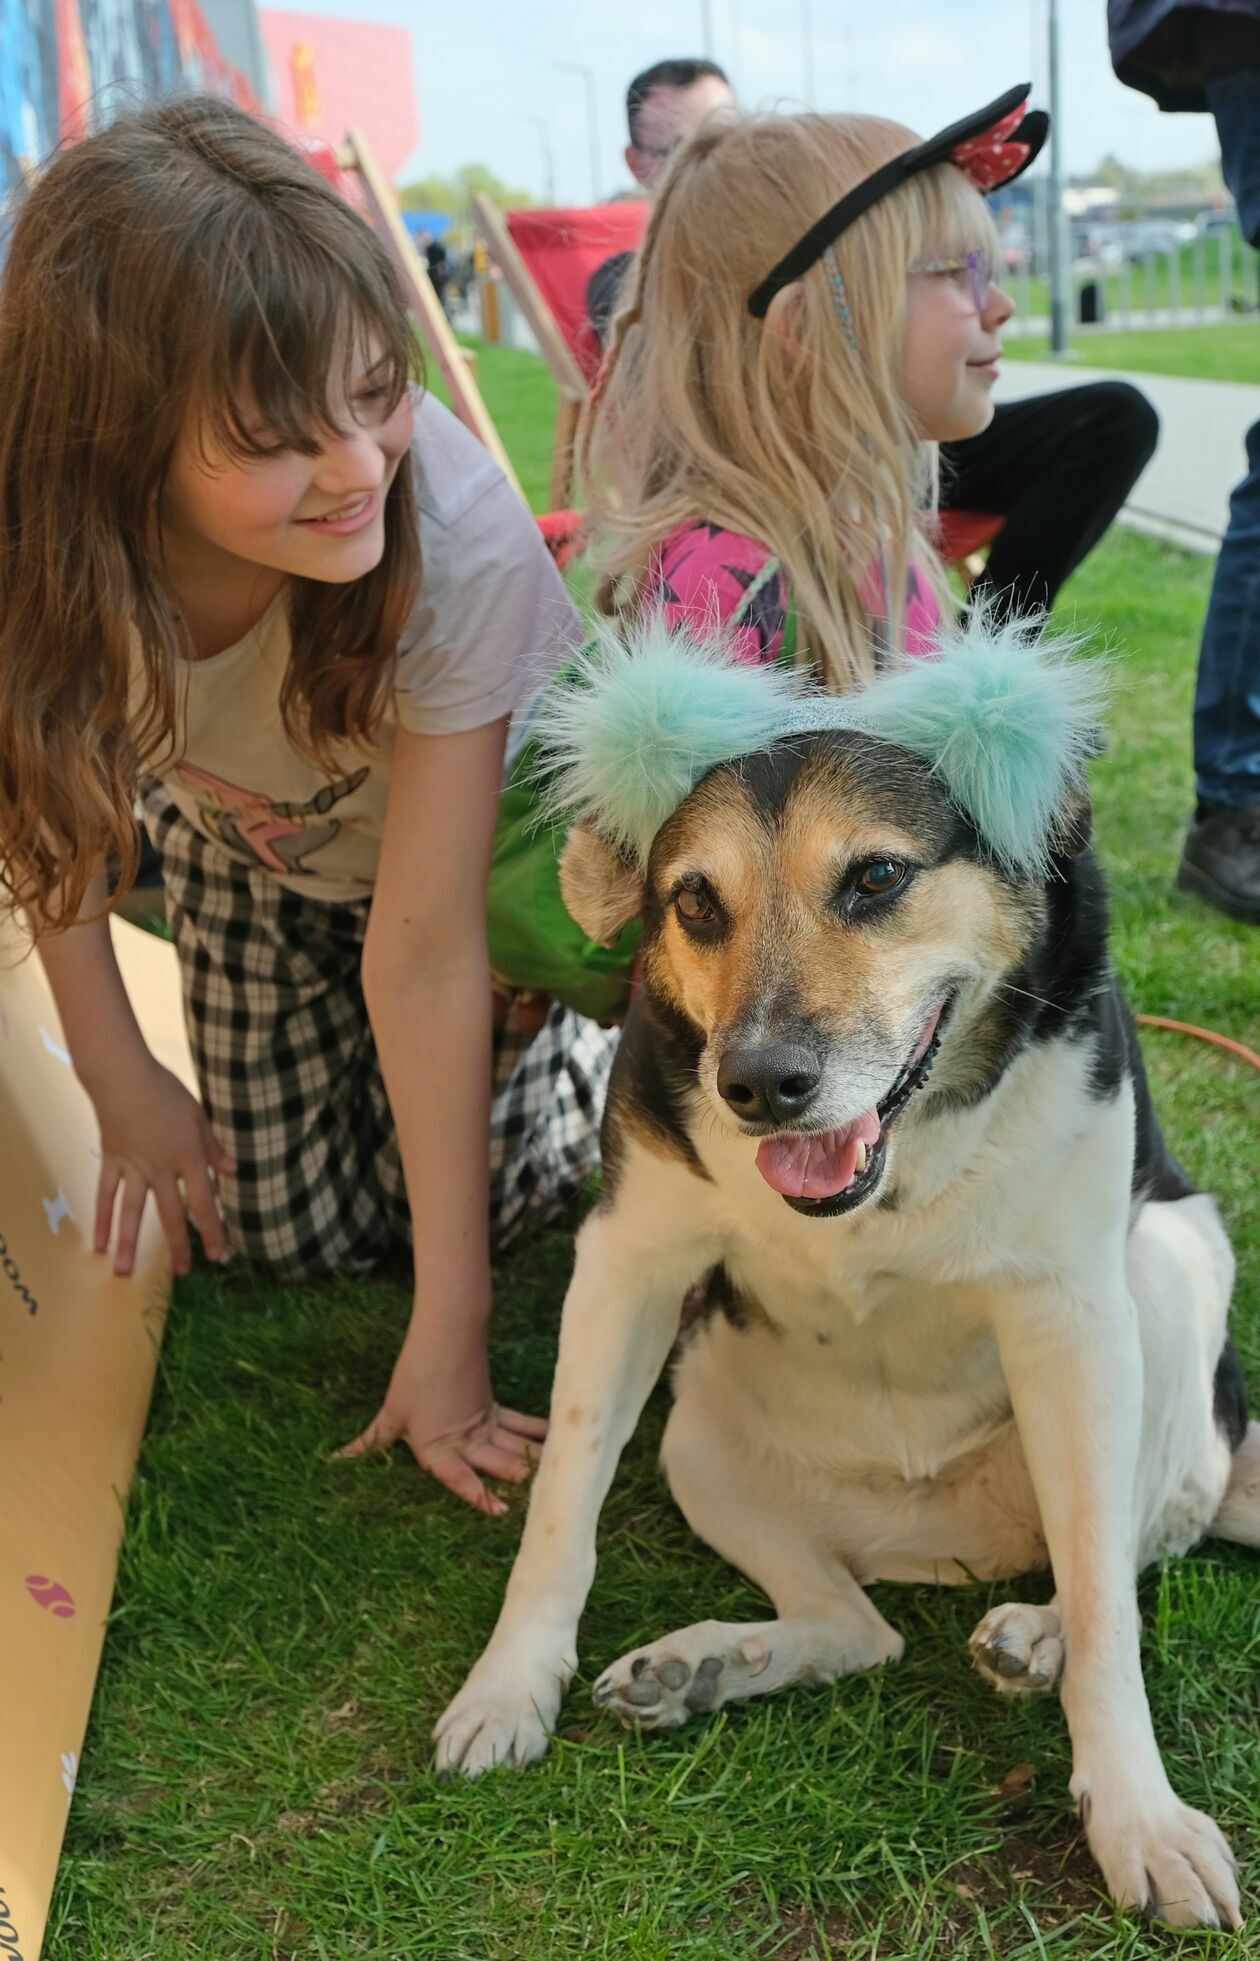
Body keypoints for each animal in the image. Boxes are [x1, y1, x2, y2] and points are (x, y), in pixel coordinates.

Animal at [436, 627, 1260, 1929]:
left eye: (874, 878)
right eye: (694, 899)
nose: (761, 1084)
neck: (894, 1158)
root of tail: (934, 1538)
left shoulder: (1074, 1315)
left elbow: (1111, 1608)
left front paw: (1139, 1815)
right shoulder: (628, 1260)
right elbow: (563, 1498)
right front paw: (511, 1684)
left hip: (1168, 1279)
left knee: (1134, 1542)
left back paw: (1036, 1632)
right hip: (702, 1434)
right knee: (859, 1627)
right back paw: (706, 1663)